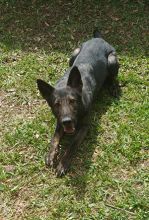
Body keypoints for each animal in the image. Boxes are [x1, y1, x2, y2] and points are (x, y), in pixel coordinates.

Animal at [36, 29, 118, 177]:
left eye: (72, 101)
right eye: (56, 104)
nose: (67, 121)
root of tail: (98, 38)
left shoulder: (84, 127)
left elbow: (72, 144)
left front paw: (63, 163)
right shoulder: (60, 121)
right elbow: (54, 138)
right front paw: (51, 154)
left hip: (112, 61)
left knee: (112, 77)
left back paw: (113, 87)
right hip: (73, 54)